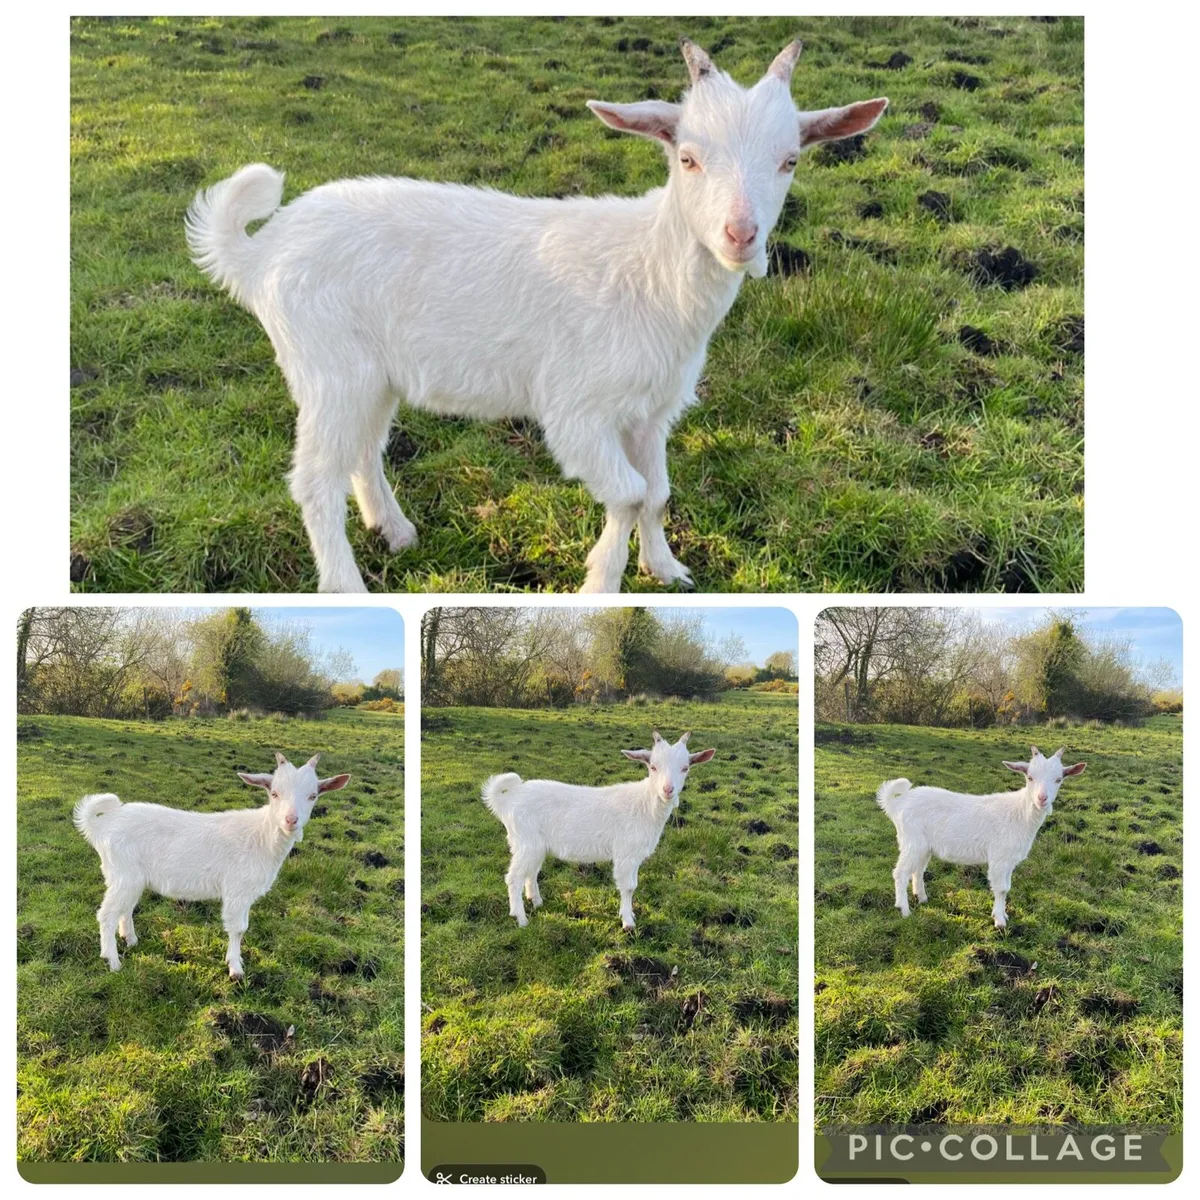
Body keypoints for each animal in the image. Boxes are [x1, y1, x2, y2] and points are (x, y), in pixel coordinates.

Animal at [73, 752, 350, 977]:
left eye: (313, 796)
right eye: (274, 793)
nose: (291, 820)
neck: (262, 836)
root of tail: (100, 825)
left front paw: (235, 962)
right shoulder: (238, 890)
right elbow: (238, 928)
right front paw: (235, 968)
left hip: (130, 877)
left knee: (126, 908)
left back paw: (130, 939)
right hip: (124, 873)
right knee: (107, 914)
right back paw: (112, 961)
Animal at [186, 38, 886, 593]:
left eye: (790, 160)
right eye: (687, 157)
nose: (740, 236)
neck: (651, 274)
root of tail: (261, 251)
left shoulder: (654, 409)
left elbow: (658, 492)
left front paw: (666, 569)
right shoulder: (578, 409)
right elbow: (629, 493)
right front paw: (601, 585)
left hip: (369, 375)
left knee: (363, 449)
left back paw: (396, 530)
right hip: (328, 364)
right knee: (314, 481)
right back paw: (346, 586)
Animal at [482, 729, 715, 929]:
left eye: (685, 768)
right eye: (653, 767)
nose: (668, 790)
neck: (645, 805)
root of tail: (507, 800)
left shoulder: (635, 855)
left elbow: (634, 884)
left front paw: (630, 914)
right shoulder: (625, 853)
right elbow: (628, 887)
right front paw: (628, 922)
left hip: (534, 845)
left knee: (531, 871)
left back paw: (536, 901)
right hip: (526, 841)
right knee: (514, 877)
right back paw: (520, 918)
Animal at [876, 746, 1086, 928]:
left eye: (1059, 779)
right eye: (1030, 777)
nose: (1042, 799)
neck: (1020, 813)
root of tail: (896, 804)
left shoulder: (1009, 860)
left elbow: (1008, 886)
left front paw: (1003, 914)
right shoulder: (1000, 857)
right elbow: (1001, 888)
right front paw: (999, 921)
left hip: (923, 846)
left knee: (918, 870)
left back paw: (921, 898)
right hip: (912, 841)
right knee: (901, 872)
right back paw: (904, 910)